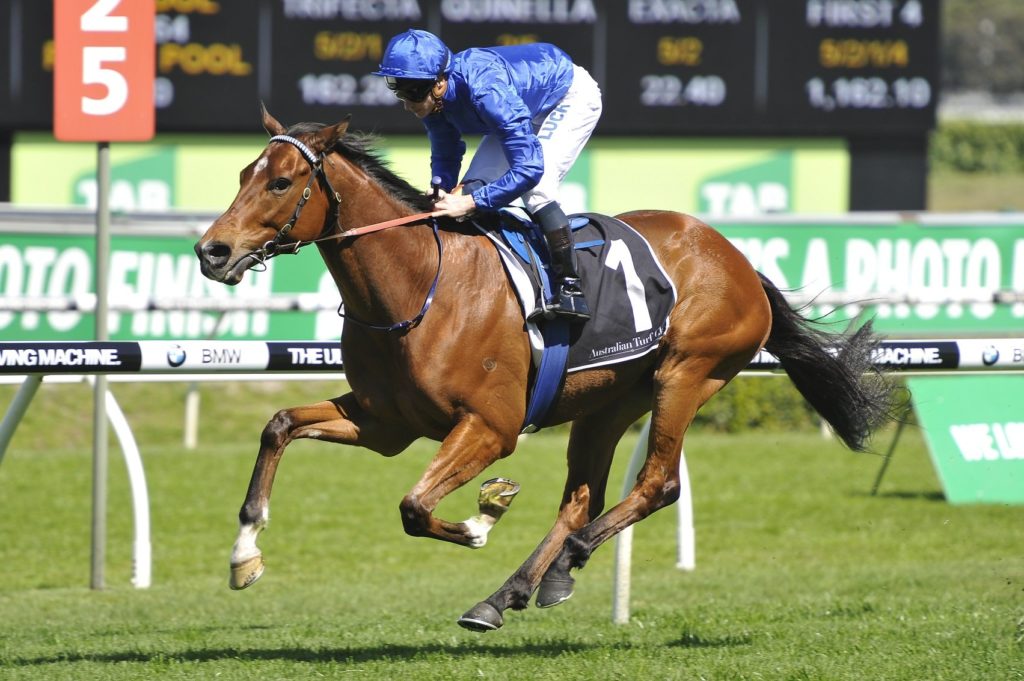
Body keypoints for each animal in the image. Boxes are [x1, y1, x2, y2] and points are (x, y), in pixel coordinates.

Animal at [194, 106, 895, 631]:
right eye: (242, 172)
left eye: (281, 183)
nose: (211, 251)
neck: (419, 287)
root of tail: (739, 258)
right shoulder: (383, 423)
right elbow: (280, 425)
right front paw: (244, 554)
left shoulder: (490, 427)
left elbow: (415, 507)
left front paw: (482, 517)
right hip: (609, 400)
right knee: (580, 500)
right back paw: (510, 593)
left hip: (687, 375)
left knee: (657, 484)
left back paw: (565, 561)